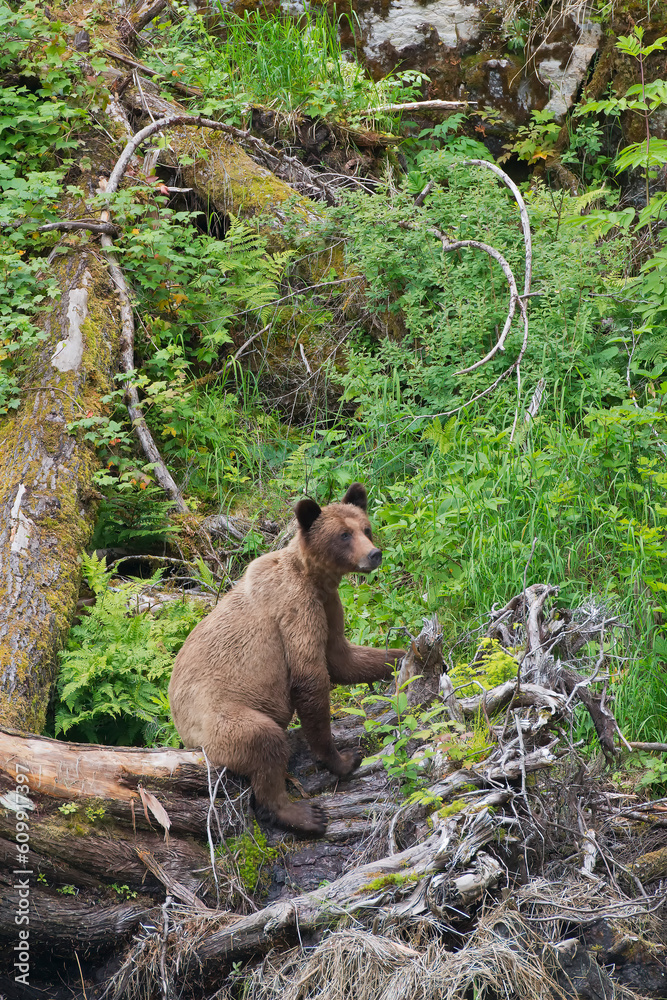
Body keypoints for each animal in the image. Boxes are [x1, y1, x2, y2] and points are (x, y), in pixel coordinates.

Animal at [168, 483, 405, 835]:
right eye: (344, 535)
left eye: (366, 528)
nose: (373, 554)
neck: (314, 577)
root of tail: (185, 735)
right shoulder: (295, 608)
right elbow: (311, 677)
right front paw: (343, 759)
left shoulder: (328, 605)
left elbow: (341, 657)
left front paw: (405, 655)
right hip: (223, 721)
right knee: (264, 744)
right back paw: (303, 814)